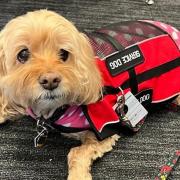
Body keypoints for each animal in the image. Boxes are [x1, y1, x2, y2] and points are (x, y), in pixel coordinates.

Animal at [0, 10, 179, 180]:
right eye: (23, 54)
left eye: (64, 53)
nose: (50, 81)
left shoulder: (107, 128)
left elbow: (76, 153)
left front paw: (78, 175)